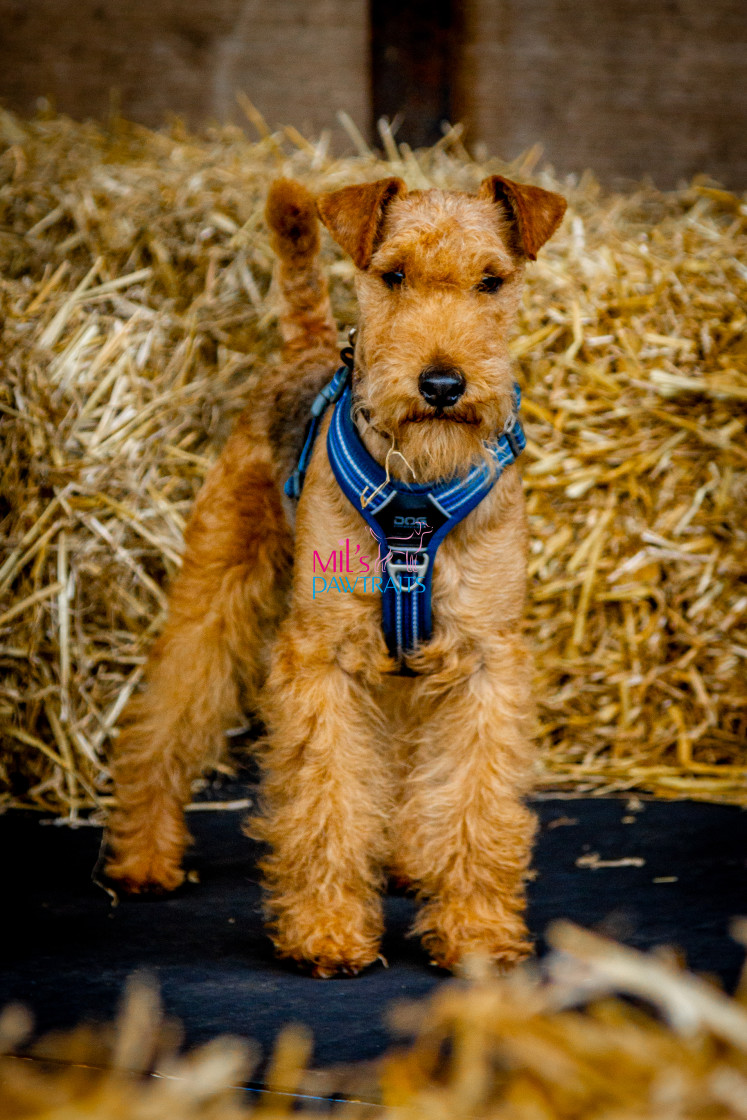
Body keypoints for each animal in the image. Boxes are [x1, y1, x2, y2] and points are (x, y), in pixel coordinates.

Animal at [103, 170, 559, 976]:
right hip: (216, 586)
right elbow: (328, 797)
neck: (416, 489)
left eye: (491, 281)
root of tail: (309, 345)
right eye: (394, 275)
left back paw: (409, 860)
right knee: (167, 715)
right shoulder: (321, 656)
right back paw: (145, 859)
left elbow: (474, 804)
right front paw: (327, 933)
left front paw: (475, 934)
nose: (442, 385)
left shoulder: (483, 657)